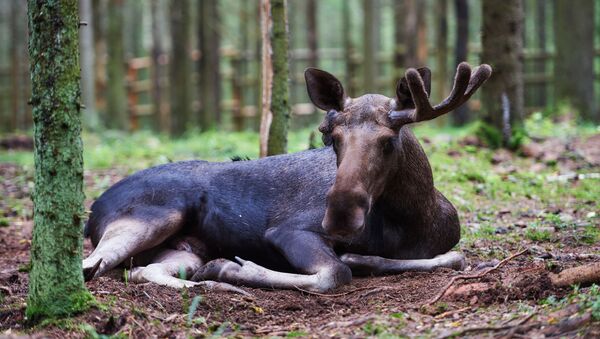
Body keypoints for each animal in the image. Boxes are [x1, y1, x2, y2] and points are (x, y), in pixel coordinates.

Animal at [82, 62, 490, 294]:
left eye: (388, 141)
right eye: (331, 137)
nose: (340, 216)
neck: (415, 219)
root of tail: (92, 209)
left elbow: (456, 258)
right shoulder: (288, 230)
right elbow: (336, 272)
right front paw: (236, 267)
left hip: (185, 248)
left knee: (140, 271)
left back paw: (212, 283)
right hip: (154, 215)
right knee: (92, 266)